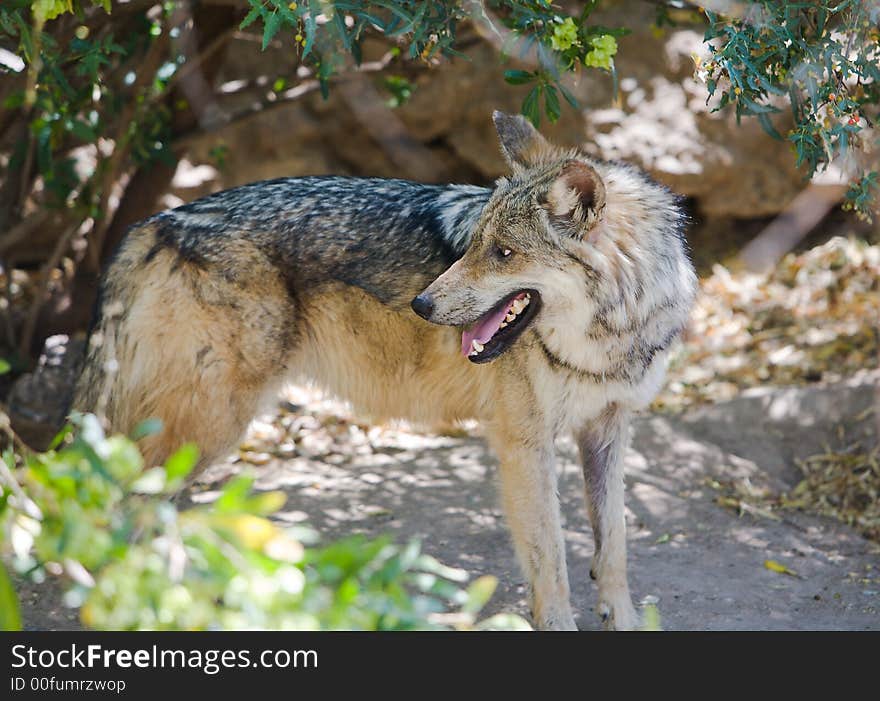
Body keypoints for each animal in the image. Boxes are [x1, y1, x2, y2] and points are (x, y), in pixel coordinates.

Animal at [72, 110, 696, 628]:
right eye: (474, 245)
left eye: (503, 254)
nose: (421, 305)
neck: (608, 339)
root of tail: (152, 223)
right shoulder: (525, 445)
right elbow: (553, 563)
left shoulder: (609, 427)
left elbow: (613, 545)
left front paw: (625, 621)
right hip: (207, 427)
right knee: (118, 505)